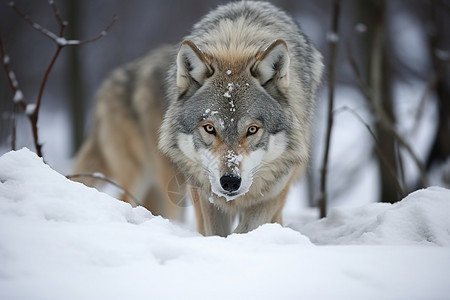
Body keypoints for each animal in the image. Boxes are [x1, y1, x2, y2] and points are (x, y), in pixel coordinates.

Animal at [72, 1, 322, 237]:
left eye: (252, 129)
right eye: (210, 128)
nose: (230, 182)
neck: (237, 41)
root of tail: (109, 84)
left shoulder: (273, 192)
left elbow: (246, 229)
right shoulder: (205, 191)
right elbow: (217, 232)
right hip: (157, 180)